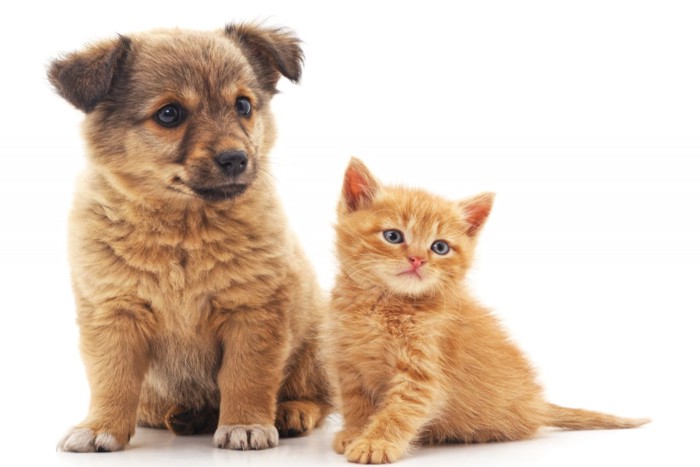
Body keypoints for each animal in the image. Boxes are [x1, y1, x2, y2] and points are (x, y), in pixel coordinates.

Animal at [50, 22, 334, 454]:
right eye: (169, 114)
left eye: (243, 106)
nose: (236, 159)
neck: (184, 229)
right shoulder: (114, 312)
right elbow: (112, 378)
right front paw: (101, 427)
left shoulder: (252, 311)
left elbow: (247, 375)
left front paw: (245, 424)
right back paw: (185, 415)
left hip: (314, 348)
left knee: (317, 396)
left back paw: (290, 412)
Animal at [328, 158, 652, 464]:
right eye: (393, 236)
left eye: (440, 247)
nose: (418, 259)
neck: (383, 304)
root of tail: (537, 404)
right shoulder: (347, 363)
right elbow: (355, 403)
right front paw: (355, 432)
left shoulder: (424, 372)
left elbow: (399, 410)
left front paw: (376, 443)